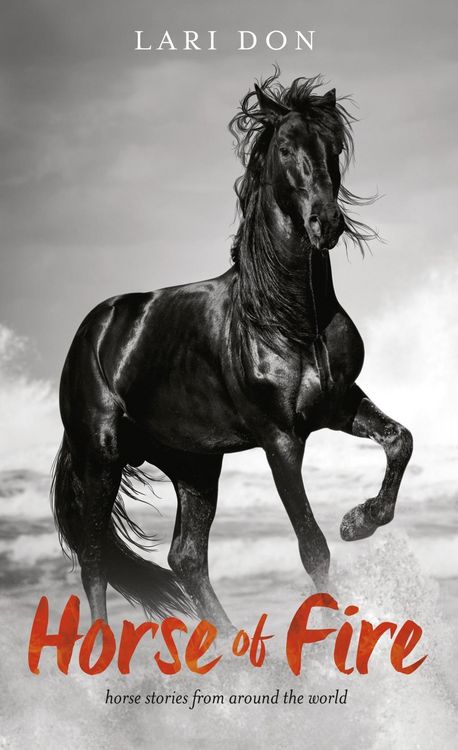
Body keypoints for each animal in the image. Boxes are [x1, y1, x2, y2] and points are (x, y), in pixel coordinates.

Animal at [52, 70, 413, 635]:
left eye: (332, 146)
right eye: (285, 147)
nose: (326, 223)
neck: (288, 318)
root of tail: (94, 330)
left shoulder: (340, 405)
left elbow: (400, 441)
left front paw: (358, 521)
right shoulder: (279, 438)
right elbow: (312, 547)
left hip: (194, 465)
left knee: (186, 557)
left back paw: (233, 647)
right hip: (100, 455)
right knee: (94, 561)